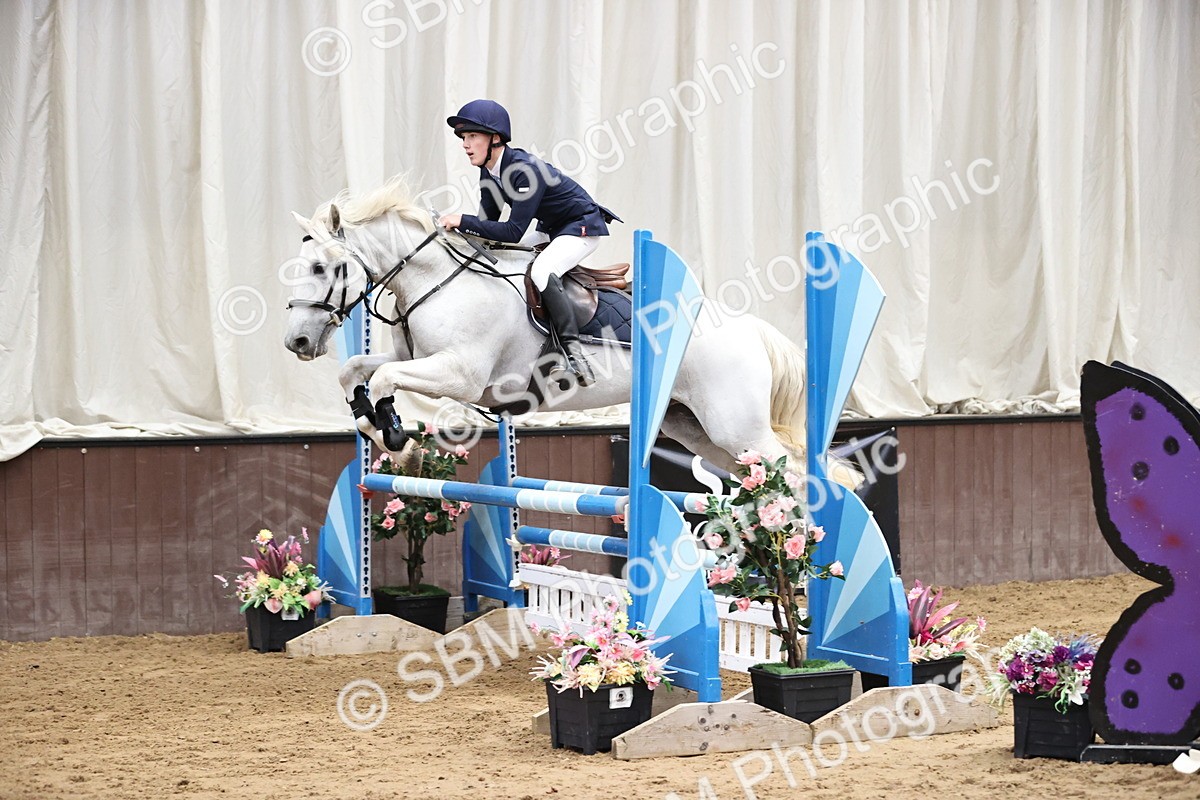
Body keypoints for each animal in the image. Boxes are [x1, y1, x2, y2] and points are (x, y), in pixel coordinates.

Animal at [282, 177, 823, 479]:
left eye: (322, 268)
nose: (297, 341)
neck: (436, 279)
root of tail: (751, 330)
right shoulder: (415, 357)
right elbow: (356, 370)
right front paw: (376, 427)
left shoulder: (460, 374)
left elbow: (384, 380)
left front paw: (398, 440)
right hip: (695, 425)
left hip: (737, 425)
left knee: (794, 474)